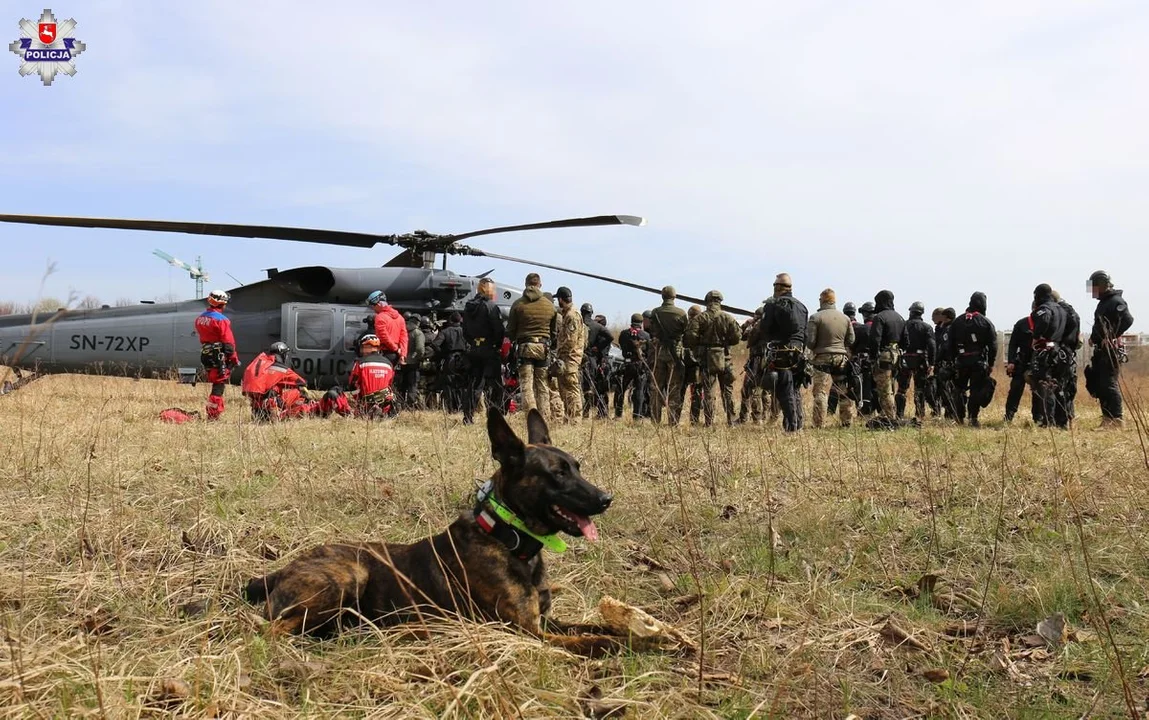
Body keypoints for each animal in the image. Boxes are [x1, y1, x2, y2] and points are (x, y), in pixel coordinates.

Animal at [242, 408, 620, 652]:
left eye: (578, 467)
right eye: (557, 474)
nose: (607, 499)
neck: (506, 537)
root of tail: (280, 571)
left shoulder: (544, 621)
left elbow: (591, 626)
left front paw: (621, 628)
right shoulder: (524, 631)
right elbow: (588, 641)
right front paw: (625, 643)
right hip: (349, 575)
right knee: (273, 630)